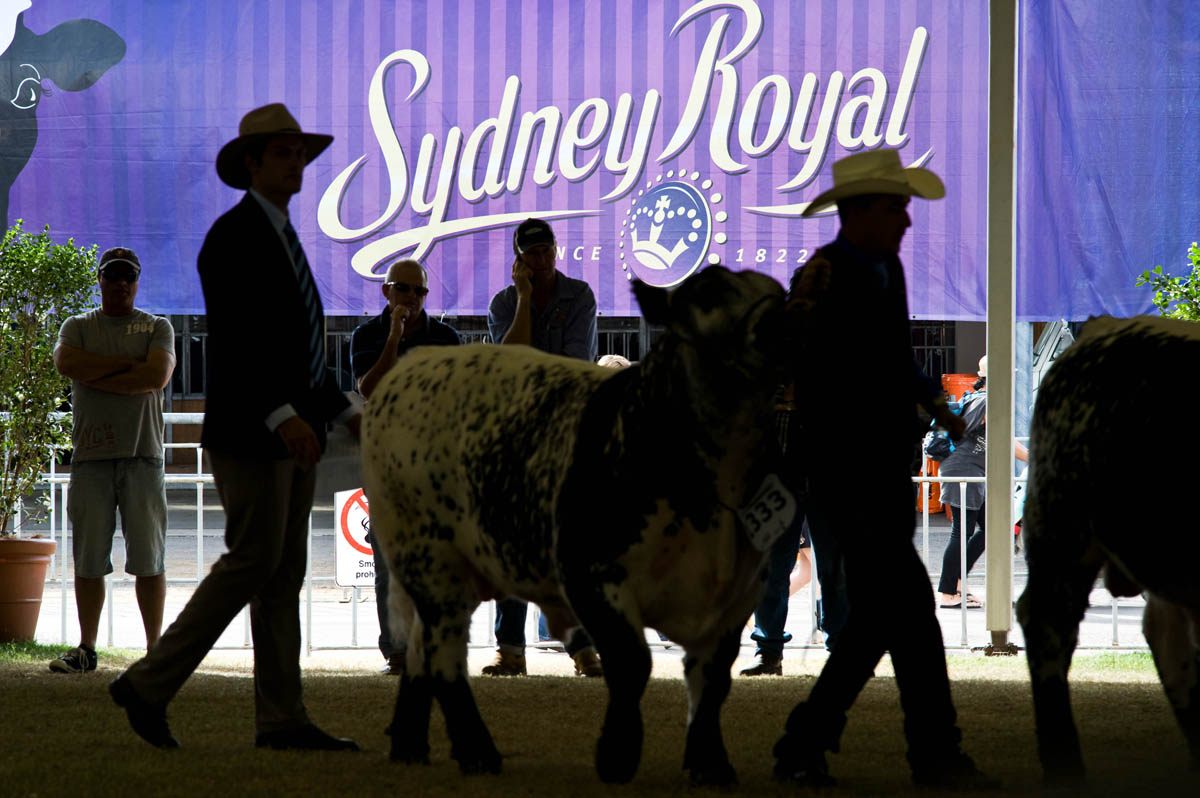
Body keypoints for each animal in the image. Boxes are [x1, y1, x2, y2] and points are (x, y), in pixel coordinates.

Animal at [360, 267, 792, 782]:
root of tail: (410, 369)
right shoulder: (591, 574)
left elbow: (713, 682)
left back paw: (411, 744)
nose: (779, 325)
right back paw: (478, 752)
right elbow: (633, 664)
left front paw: (712, 766)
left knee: (420, 650)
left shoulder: (739, 593)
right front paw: (616, 756)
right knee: (443, 655)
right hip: (428, 557)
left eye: (779, 293)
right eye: (709, 297)